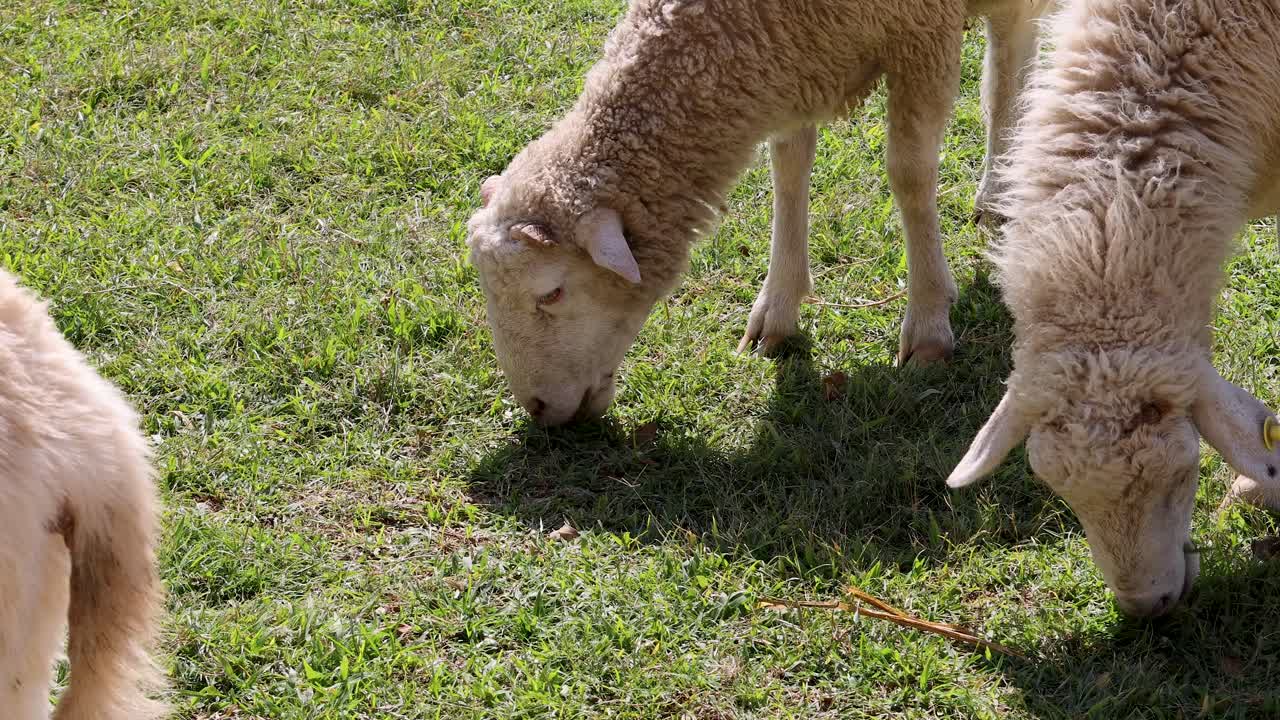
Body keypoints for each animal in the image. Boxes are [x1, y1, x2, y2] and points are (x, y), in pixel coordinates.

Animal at [466, 0, 1053, 426]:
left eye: (552, 292)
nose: (537, 410)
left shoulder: (921, 32)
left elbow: (909, 173)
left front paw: (929, 320)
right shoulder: (794, 50)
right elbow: (788, 166)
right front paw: (778, 310)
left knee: (1007, 66)